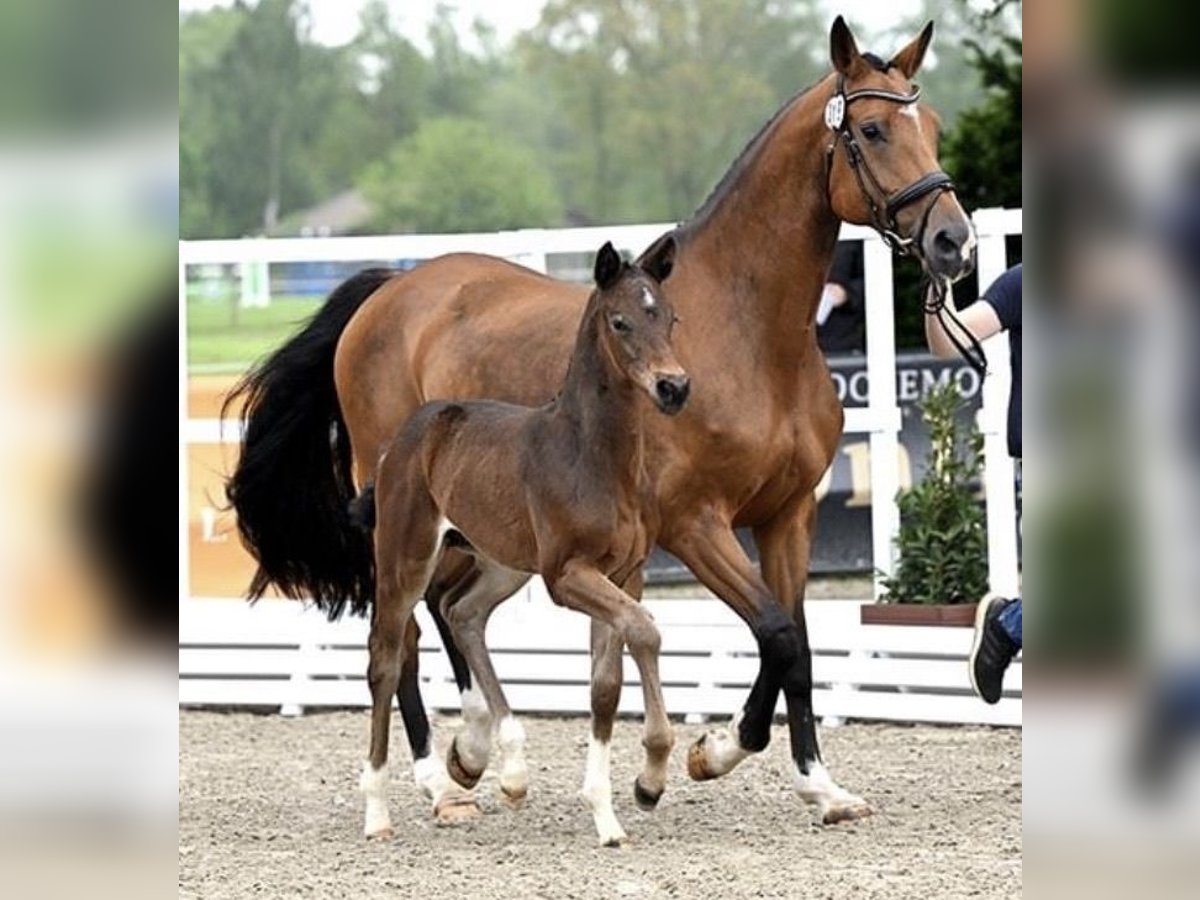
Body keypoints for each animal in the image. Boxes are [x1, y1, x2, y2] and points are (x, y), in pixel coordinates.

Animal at [360, 240, 691, 844]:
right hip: (405, 558)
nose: (674, 388)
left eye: (670, 317)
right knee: (387, 658)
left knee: (462, 612)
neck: (592, 455)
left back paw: (509, 771)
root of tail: (409, 433)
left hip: (502, 561)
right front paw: (640, 785)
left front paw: (628, 797)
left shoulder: (623, 573)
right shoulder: (566, 575)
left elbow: (607, 680)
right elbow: (644, 631)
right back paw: (377, 813)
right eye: (620, 321)